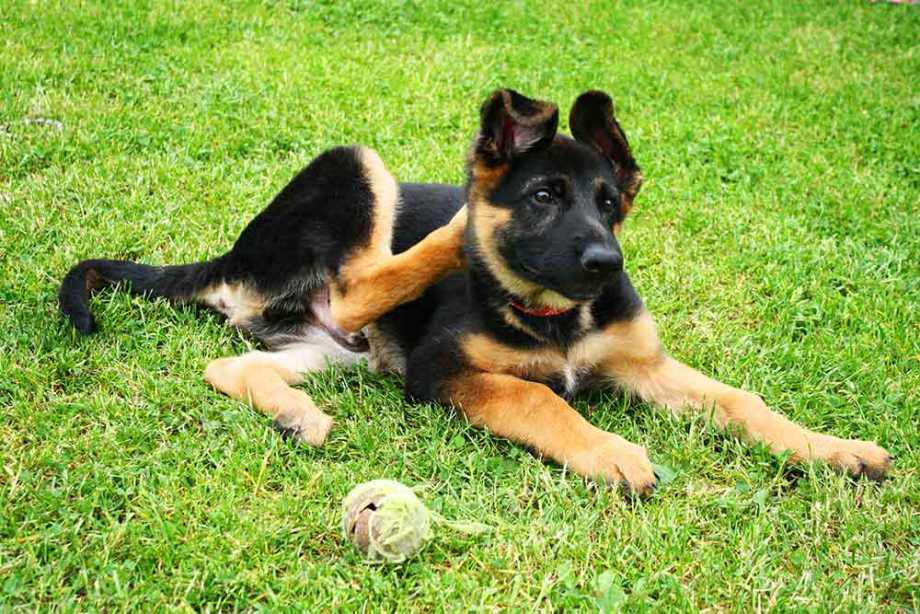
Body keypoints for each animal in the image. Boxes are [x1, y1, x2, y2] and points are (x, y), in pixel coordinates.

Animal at [57, 89, 892, 496]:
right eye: (545, 197)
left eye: (609, 203)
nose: (607, 261)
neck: (555, 316)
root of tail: (236, 251)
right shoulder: (440, 372)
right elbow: (539, 399)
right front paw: (610, 452)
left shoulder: (644, 365)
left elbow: (744, 402)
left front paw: (832, 449)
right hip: (354, 169)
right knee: (362, 282)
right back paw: (458, 225)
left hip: (336, 352)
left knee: (230, 365)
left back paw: (298, 414)